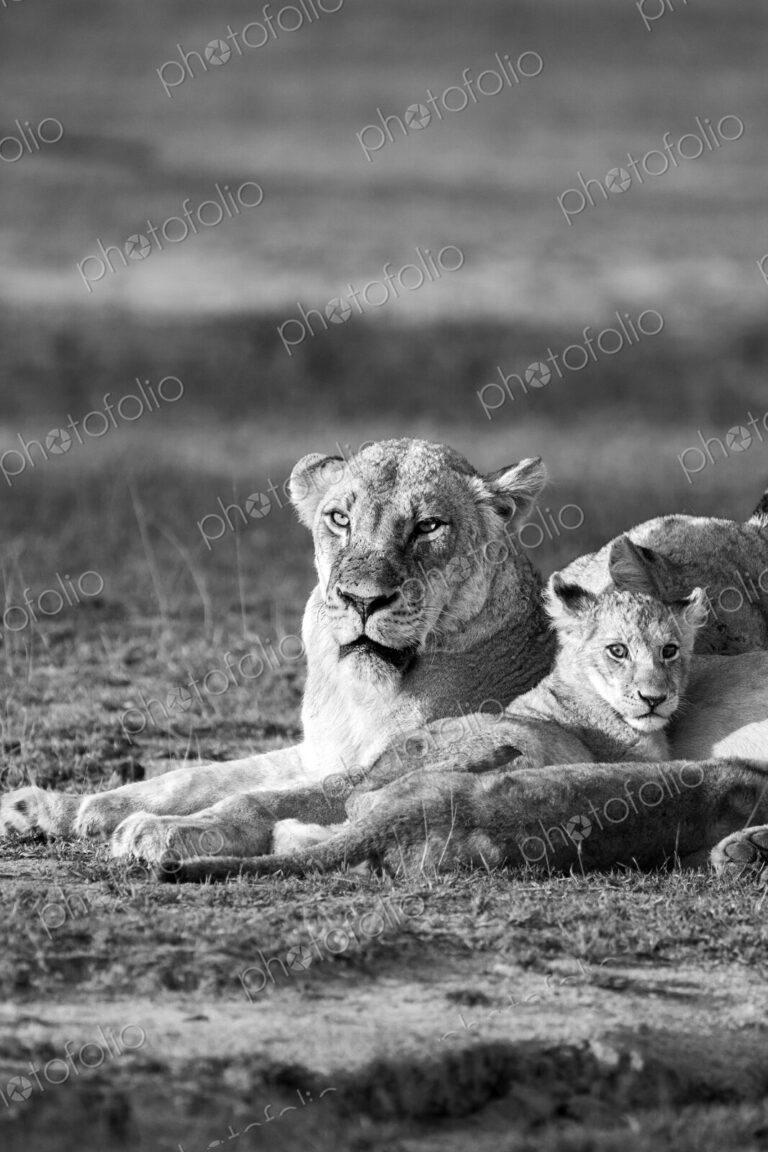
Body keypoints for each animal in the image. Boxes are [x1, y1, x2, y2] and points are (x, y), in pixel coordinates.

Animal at [1, 437, 768, 876]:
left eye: (428, 526)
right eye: (339, 518)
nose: (361, 599)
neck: (359, 689)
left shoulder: (381, 763)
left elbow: (252, 797)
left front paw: (165, 833)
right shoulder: (322, 752)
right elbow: (190, 775)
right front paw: (57, 808)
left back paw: (742, 850)